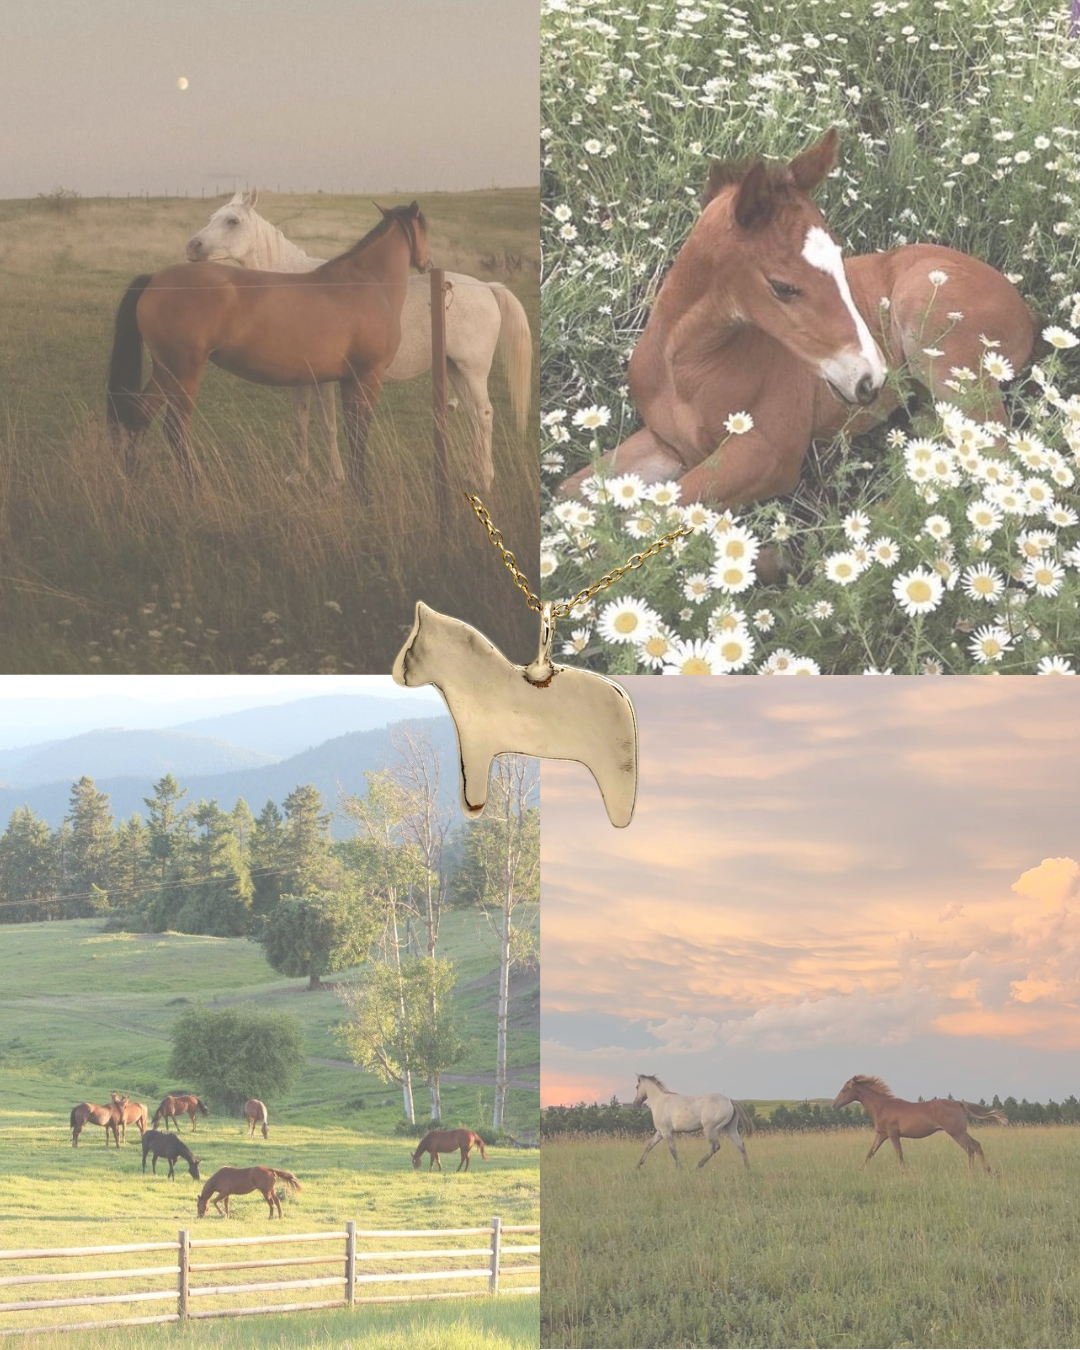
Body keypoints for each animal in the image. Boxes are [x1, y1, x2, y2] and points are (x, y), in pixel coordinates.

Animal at [107, 202, 429, 494]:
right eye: (425, 227)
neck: (367, 283)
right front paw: (361, 491)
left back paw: (133, 479)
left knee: (139, 418)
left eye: (231, 220)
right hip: (183, 373)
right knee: (174, 428)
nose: (427, 262)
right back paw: (197, 486)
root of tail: (155, 279)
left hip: (165, 371)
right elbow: (357, 432)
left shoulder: (344, 379)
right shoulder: (366, 377)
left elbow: (344, 429)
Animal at [186, 191, 532, 490]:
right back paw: (473, 475)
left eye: (232, 221)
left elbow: (328, 424)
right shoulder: (300, 378)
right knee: (475, 418)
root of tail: (487, 288)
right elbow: (300, 422)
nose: (192, 246)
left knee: (484, 415)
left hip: (472, 370)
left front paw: (335, 480)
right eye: (212, 217)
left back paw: (484, 479)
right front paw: (297, 475)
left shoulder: (324, 379)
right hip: (455, 370)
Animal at [392, 601, 637, 828]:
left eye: (410, 649)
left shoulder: (475, 746)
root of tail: (623, 699)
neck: (477, 679)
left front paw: (474, 807)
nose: (396, 674)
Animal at [558, 128, 1035, 508]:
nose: (871, 378)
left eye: (841, 263)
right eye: (784, 286)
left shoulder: (767, 454)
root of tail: (1024, 307)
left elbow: (654, 515)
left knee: (993, 456)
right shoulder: (666, 444)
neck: (684, 369)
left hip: (940, 345)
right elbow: (569, 495)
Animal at [832, 1075, 1007, 1172]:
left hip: (956, 1132)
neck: (882, 1106)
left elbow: (899, 1154)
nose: (834, 1105)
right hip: (959, 1132)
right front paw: (860, 1170)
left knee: (972, 1147)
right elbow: (870, 1153)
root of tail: (958, 1103)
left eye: (844, 1090)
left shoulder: (893, 1134)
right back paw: (983, 1170)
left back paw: (977, 1171)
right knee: (974, 1146)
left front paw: (904, 1172)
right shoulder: (881, 1135)